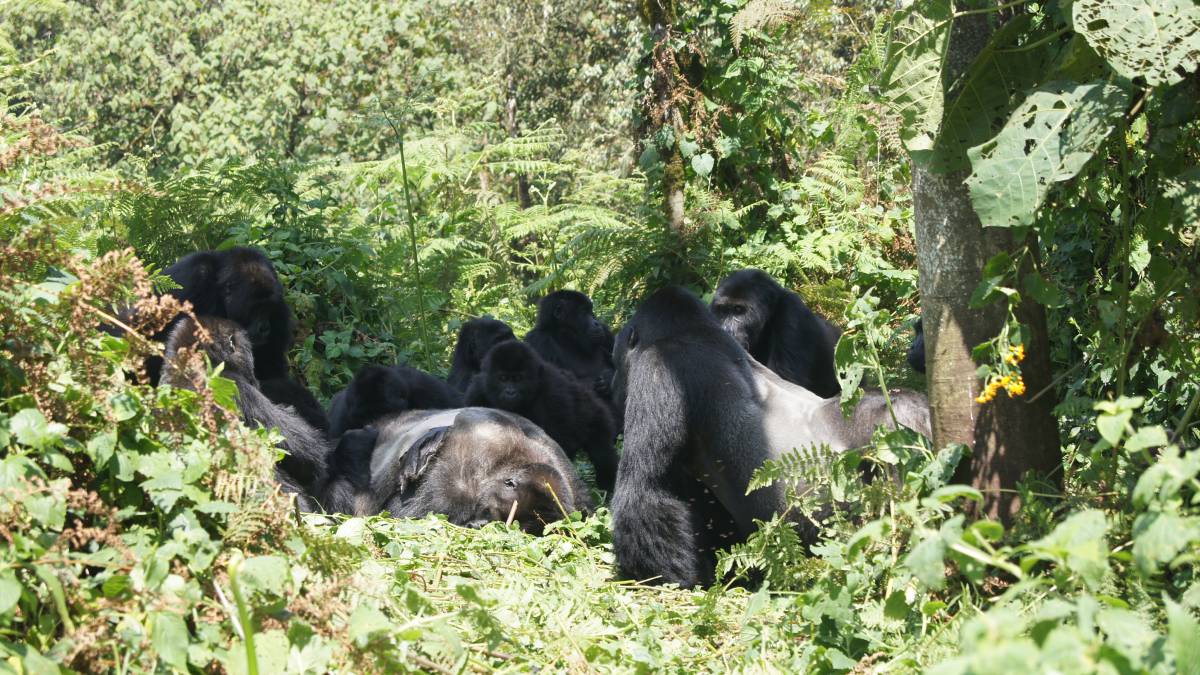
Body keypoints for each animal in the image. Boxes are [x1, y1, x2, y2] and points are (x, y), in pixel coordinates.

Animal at [614, 285, 931, 586]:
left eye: (618, 357)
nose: (614, 383)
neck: (692, 331)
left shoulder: (657, 368)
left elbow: (645, 490)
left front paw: (668, 580)